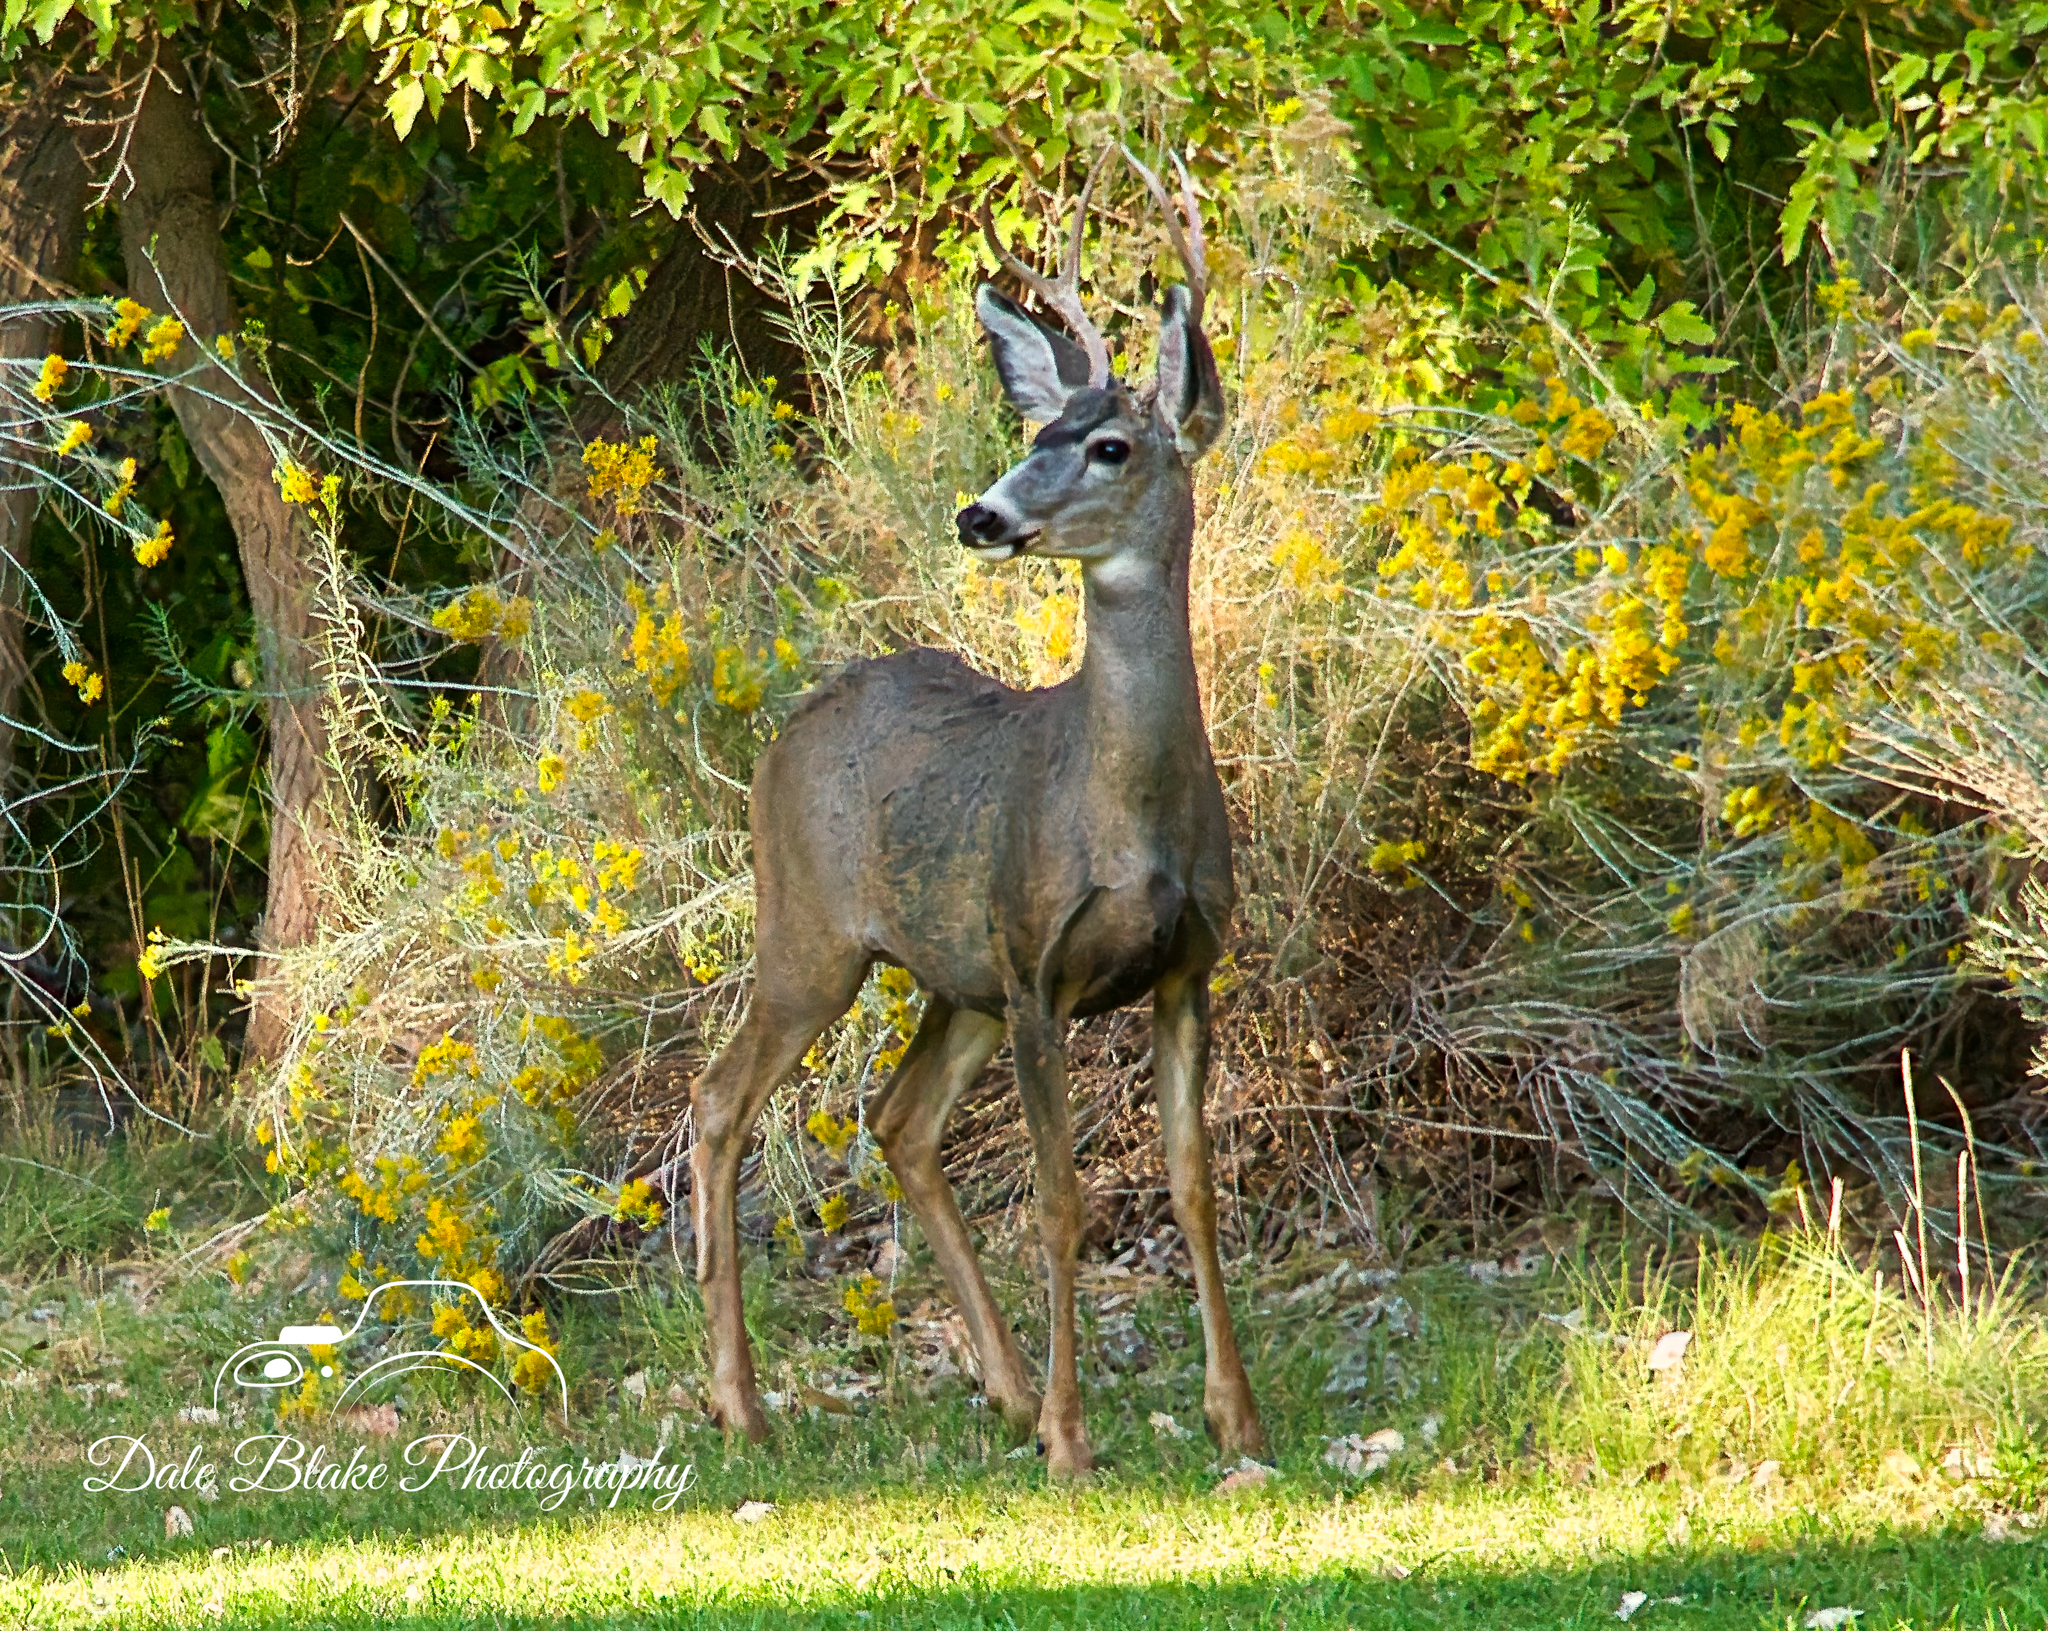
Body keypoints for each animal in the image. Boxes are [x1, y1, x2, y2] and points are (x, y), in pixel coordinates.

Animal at [681, 151, 1265, 1479]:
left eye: (1107, 444)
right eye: (1029, 431)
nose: (980, 515)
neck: (1130, 813)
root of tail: (779, 737)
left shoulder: (1184, 966)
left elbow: (1193, 1183)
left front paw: (1235, 1413)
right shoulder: (1037, 961)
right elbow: (1059, 1199)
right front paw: (1070, 1437)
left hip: (954, 979)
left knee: (899, 1121)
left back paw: (994, 1383)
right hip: (814, 938)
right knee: (720, 1102)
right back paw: (741, 1404)